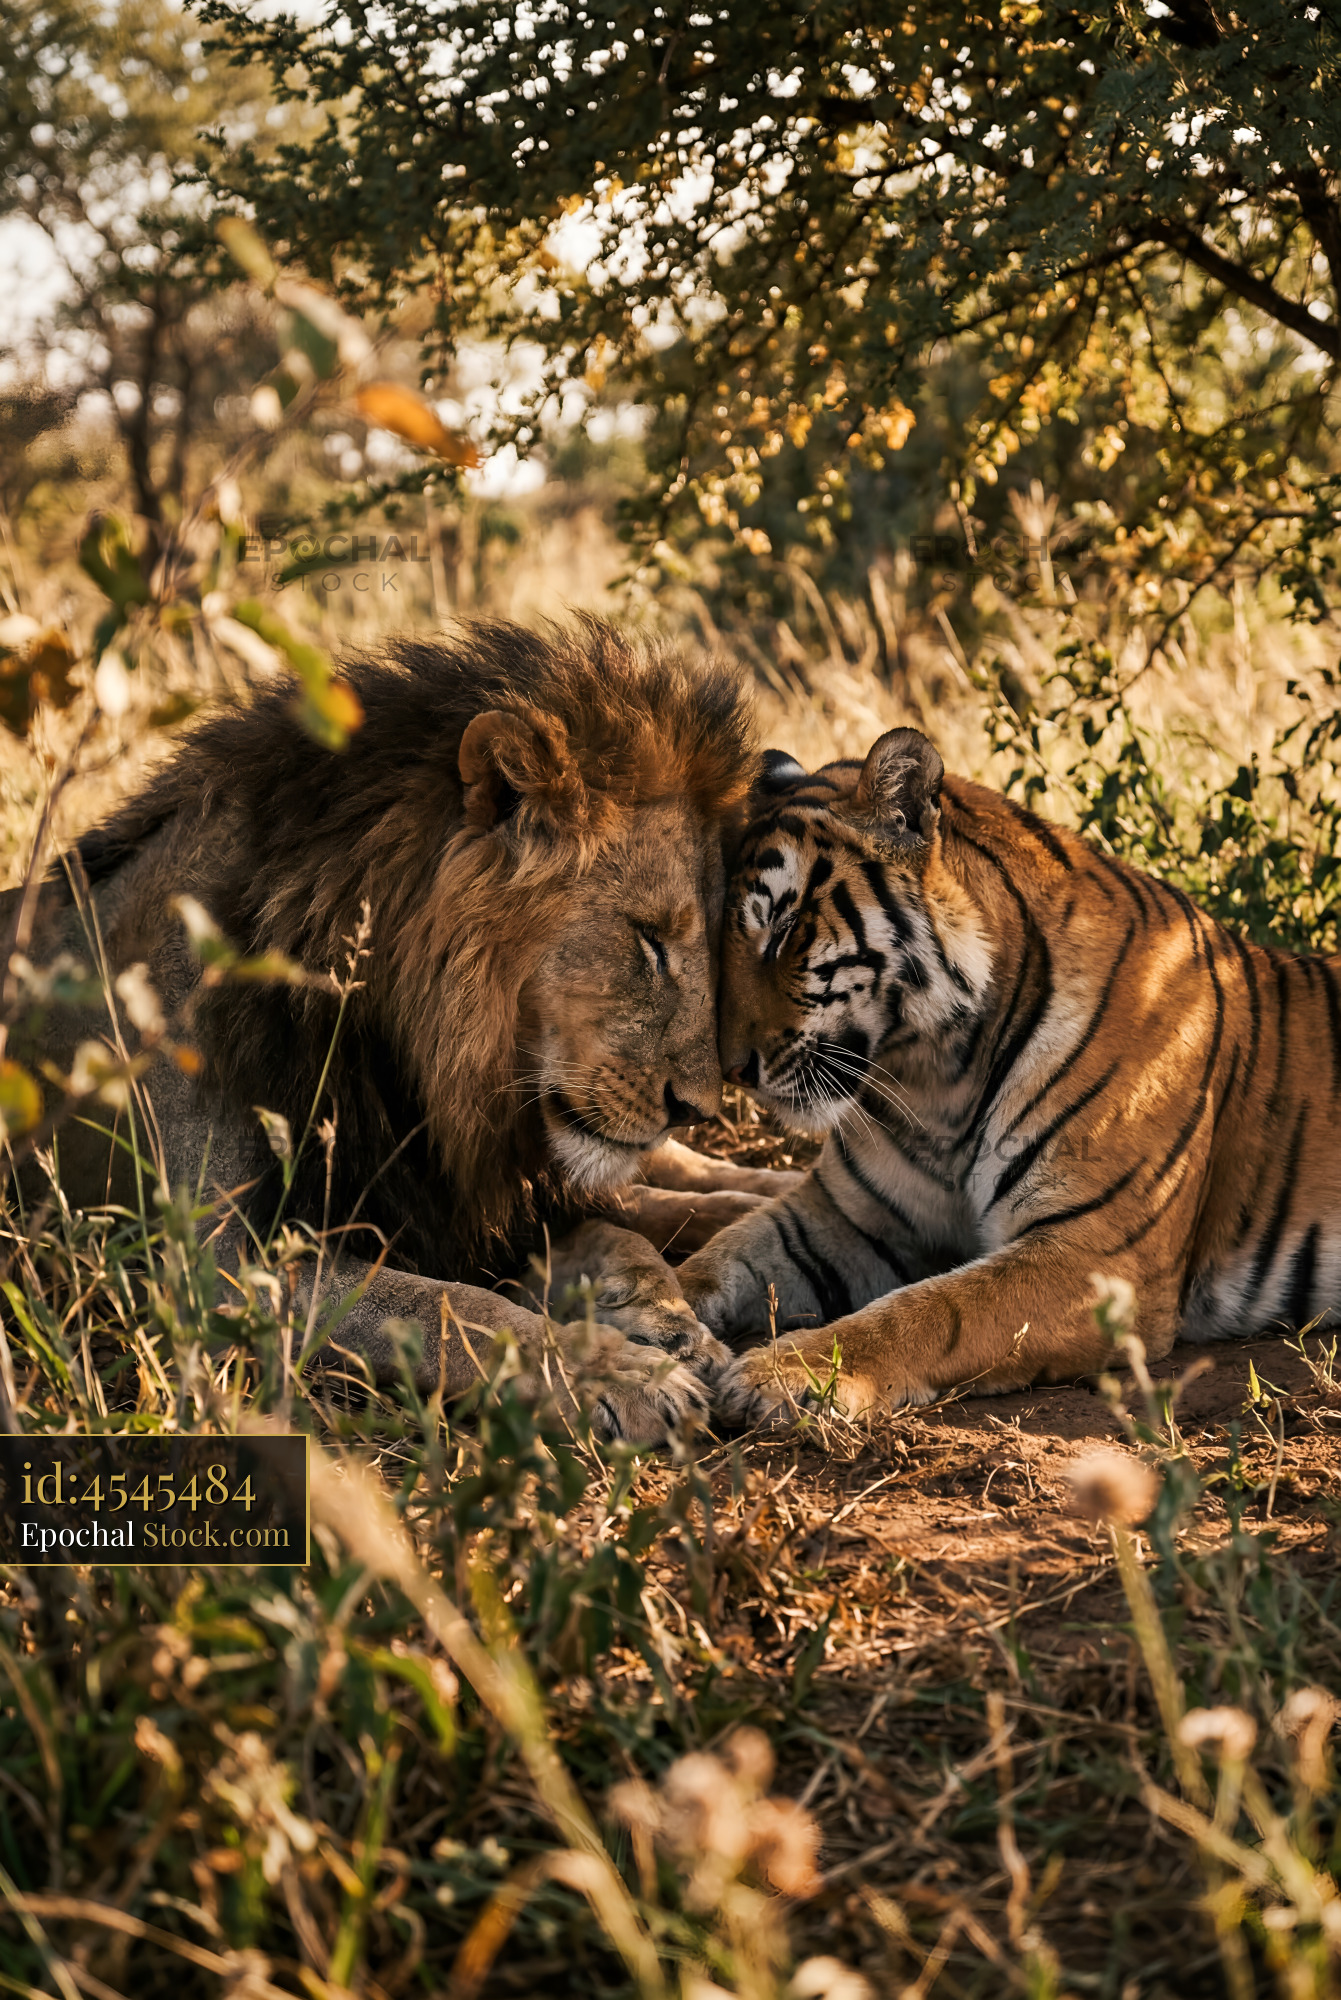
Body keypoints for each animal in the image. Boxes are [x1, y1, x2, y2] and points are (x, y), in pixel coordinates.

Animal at [5, 619, 773, 1443]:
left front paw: (666, 1322)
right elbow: (453, 1308)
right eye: (648, 939)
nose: (698, 1107)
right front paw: (625, 1373)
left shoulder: (482, 1199)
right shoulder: (221, 1266)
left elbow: (621, 1229)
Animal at [660, 726, 1341, 1427]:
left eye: (786, 929)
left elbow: (933, 1309)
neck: (936, 1078)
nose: (733, 1070)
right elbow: (717, 1256)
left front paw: (781, 1371)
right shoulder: (844, 1217)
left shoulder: (1096, 1255)